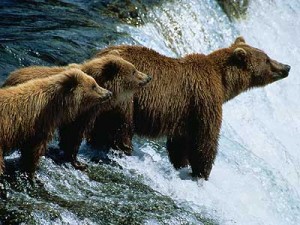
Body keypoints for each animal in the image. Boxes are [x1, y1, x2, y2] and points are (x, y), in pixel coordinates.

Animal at [2, 54, 151, 170]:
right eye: (134, 71)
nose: (148, 77)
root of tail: (10, 77)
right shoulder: (82, 111)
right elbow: (74, 134)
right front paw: (78, 162)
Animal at [94, 37, 290, 181]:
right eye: (267, 59)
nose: (287, 67)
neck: (223, 83)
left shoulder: (185, 112)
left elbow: (180, 143)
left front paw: (182, 165)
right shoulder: (205, 101)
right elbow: (205, 139)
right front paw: (201, 174)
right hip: (125, 97)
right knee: (121, 127)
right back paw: (123, 149)